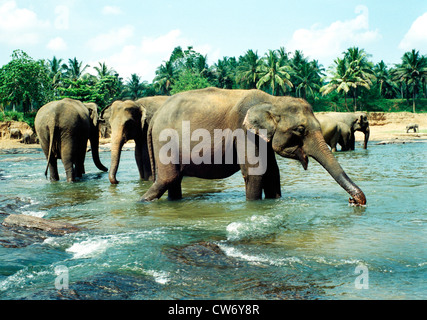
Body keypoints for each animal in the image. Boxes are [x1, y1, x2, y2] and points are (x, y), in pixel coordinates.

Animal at [141, 87, 368, 205]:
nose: (353, 201)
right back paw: (141, 202)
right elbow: (255, 173)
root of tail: (155, 116)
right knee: (167, 178)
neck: (272, 100)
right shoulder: (243, 131)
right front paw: (254, 207)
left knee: (173, 181)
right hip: (164, 141)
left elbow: (273, 173)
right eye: (300, 130)